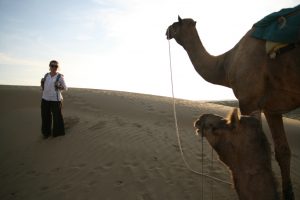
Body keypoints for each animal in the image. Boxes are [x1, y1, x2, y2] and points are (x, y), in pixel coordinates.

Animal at [166, 16, 300, 200]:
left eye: (175, 24)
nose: (166, 31)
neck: (226, 63)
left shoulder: (248, 100)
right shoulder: (272, 108)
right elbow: (283, 152)